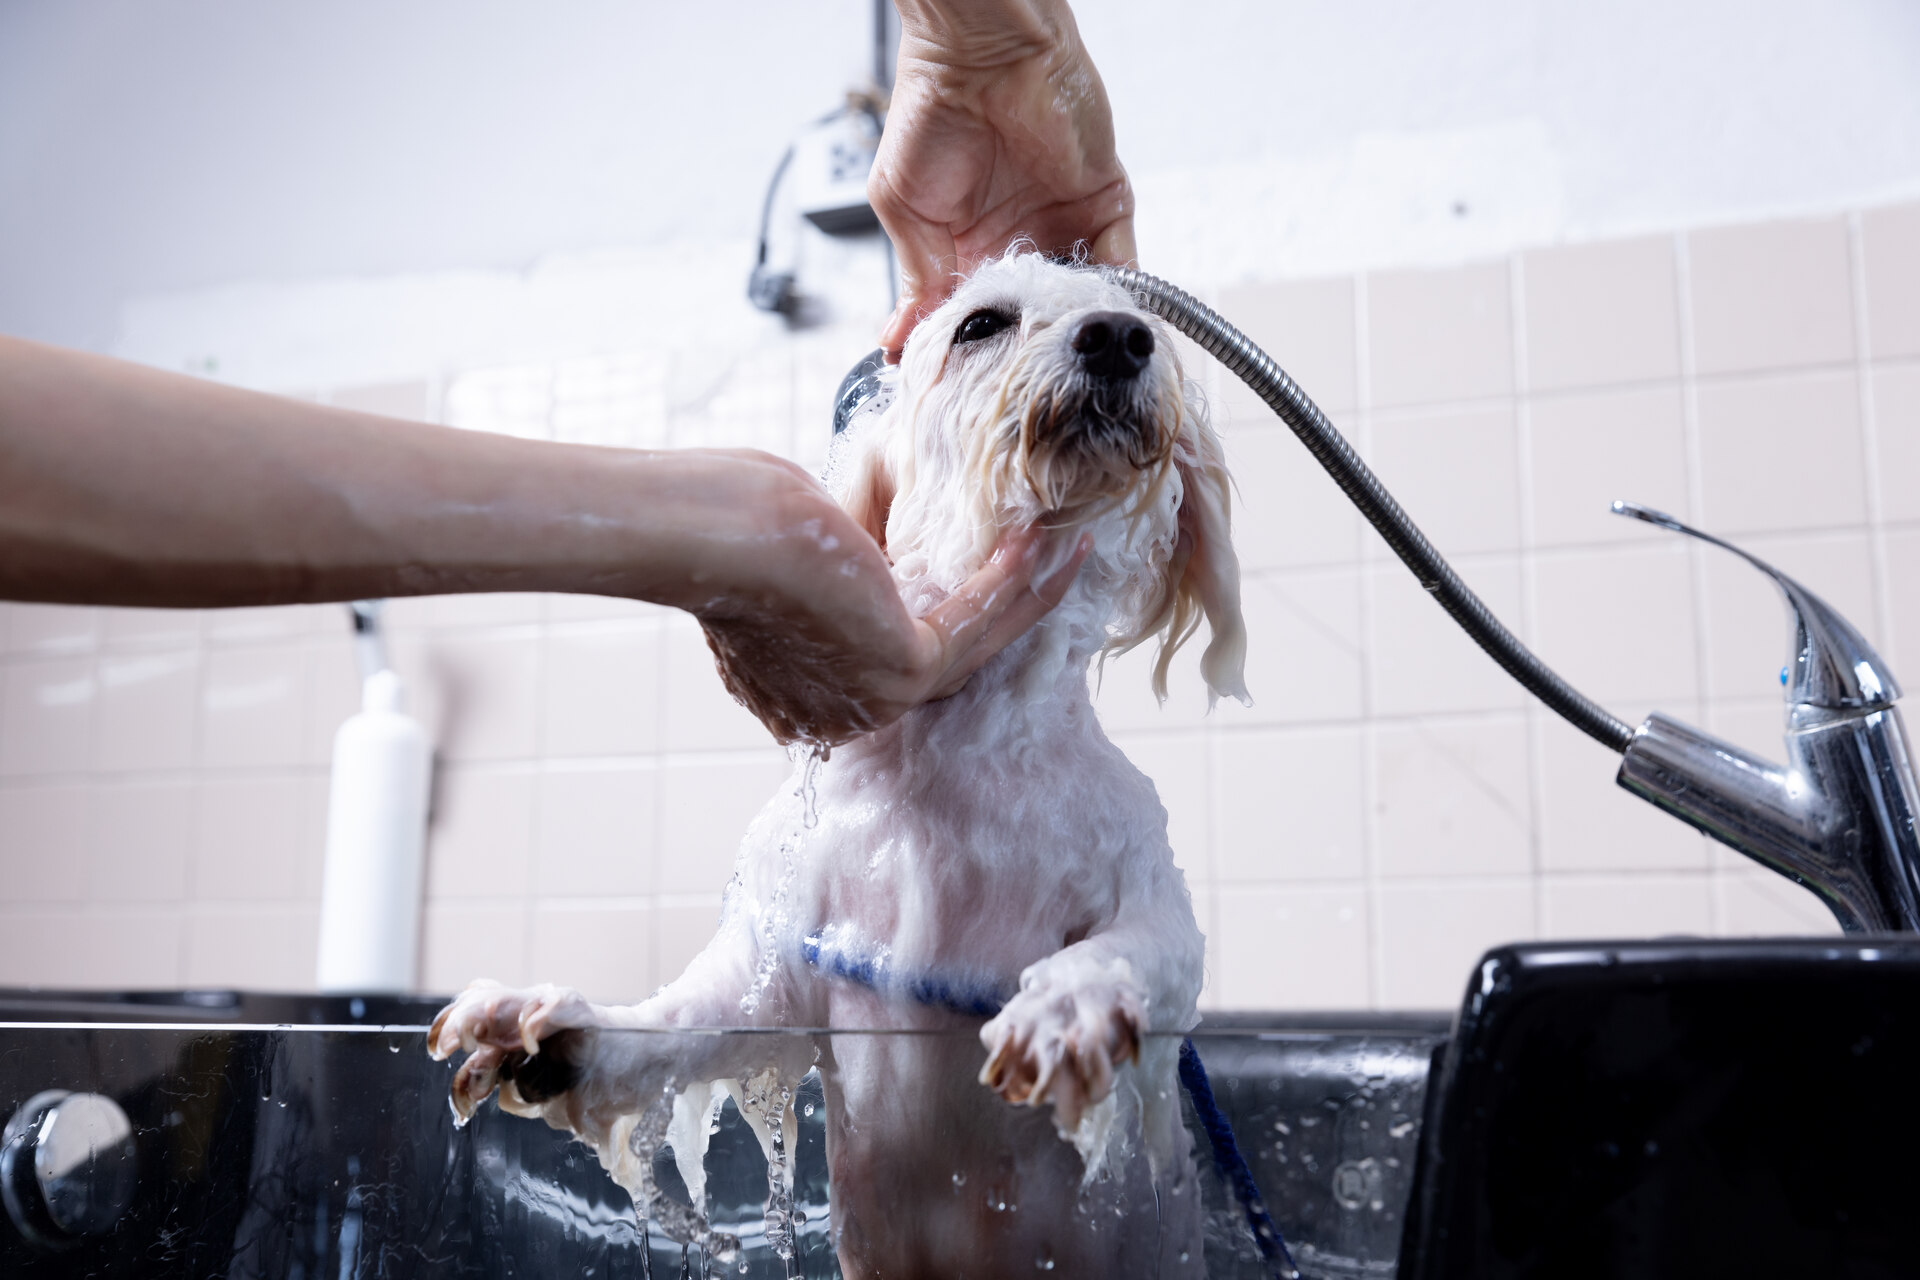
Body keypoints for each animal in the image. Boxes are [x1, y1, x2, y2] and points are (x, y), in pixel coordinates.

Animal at [430, 253, 1251, 1280]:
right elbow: (681, 1022)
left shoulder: (1147, 888)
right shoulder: (780, 968)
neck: (967, 750)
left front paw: (1066, 1005)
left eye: (1140, 323)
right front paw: (559, 1033)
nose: (1118, 338)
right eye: (982, 325)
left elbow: (1139, 951)